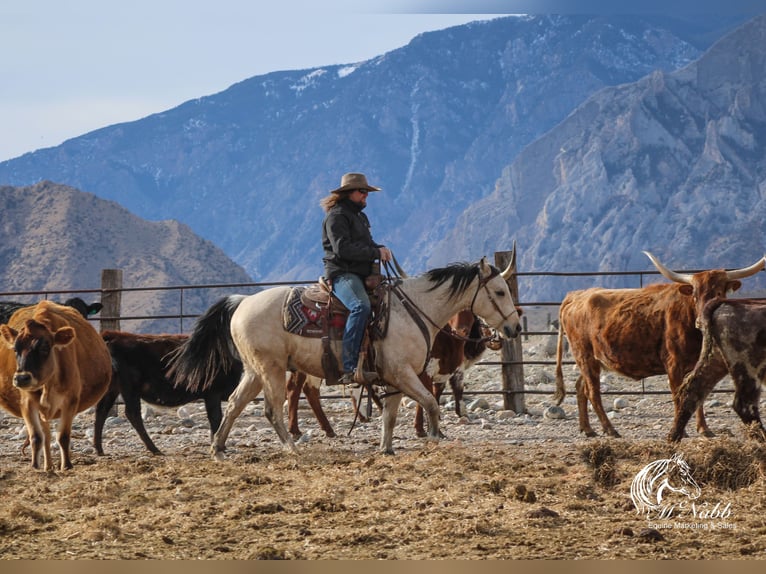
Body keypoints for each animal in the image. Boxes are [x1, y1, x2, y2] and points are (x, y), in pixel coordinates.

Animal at [0, 304, 112, 470]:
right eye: (15, 349)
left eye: (44, 348)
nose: (21, 378)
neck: (49, 384)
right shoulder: (27, 403)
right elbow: (36, 437)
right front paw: (35, 466)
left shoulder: (70, 401)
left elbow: (63, 436)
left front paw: (66, 466)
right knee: (45, 435)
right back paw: (47, 466)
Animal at [171, 256, 524, 460]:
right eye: (500, 291)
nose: (515, 327)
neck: (414, 310)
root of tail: (241, 300)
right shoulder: (404, 373)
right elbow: (430, 402)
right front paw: (436, 436)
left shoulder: (394, 377)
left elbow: (391, 415)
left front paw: (386, 448)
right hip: (271, 369)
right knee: (272, 410)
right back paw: (292, 448)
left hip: (254, 371)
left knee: (234, 404)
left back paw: (219, 449)